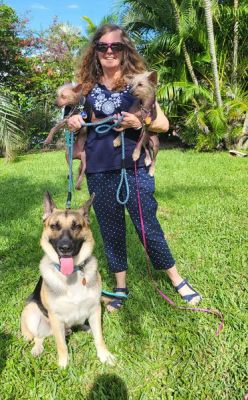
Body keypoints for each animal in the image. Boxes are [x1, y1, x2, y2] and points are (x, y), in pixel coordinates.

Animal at [20, 192, 115, 368]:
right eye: (54, 226)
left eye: (76, 226)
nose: (65, 248)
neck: (72, 275)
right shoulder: (55, 318)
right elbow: (61, 345)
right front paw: (64, 364)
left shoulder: (95, 310)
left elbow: (99, 338)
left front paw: (104, 355)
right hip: (31, 311)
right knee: (38, 336)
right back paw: (37, 348)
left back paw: (85, 328)